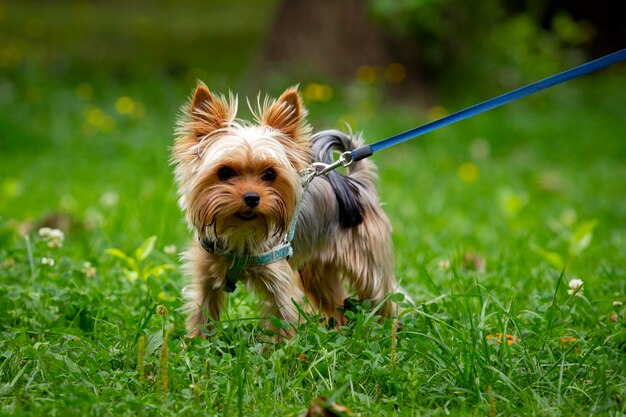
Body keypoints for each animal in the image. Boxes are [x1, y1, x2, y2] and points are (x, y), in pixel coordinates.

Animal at [172, 83, 404, 336]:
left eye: (269, 174)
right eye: (224, 173)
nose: (252, 198)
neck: (240, 232)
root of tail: (357, 183)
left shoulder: (279, 283)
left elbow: (281, 323)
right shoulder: (204, 280)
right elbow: (201, 316)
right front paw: (194, 342)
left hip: (368, 264)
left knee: (384, 296)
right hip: (317, 271)